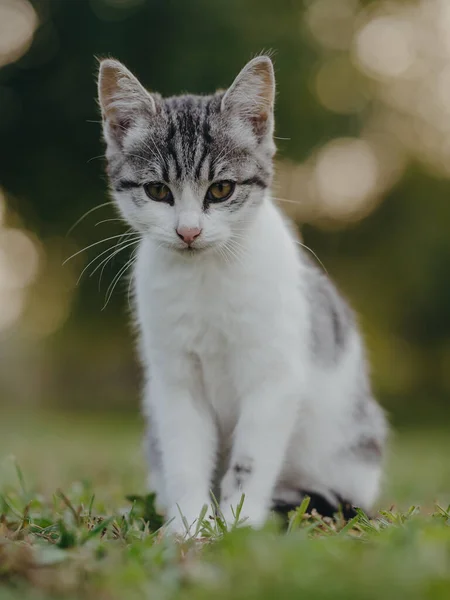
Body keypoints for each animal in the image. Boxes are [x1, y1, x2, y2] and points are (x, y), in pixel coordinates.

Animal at [97, 56, 386, 536]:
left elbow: (250, 461)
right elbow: (185, 458)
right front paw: (190, 527)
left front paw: (239, 525)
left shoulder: (273, 378)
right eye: (157, 190)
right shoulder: (174, 380)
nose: (189, 231)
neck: (205, 279)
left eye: (221, 189)